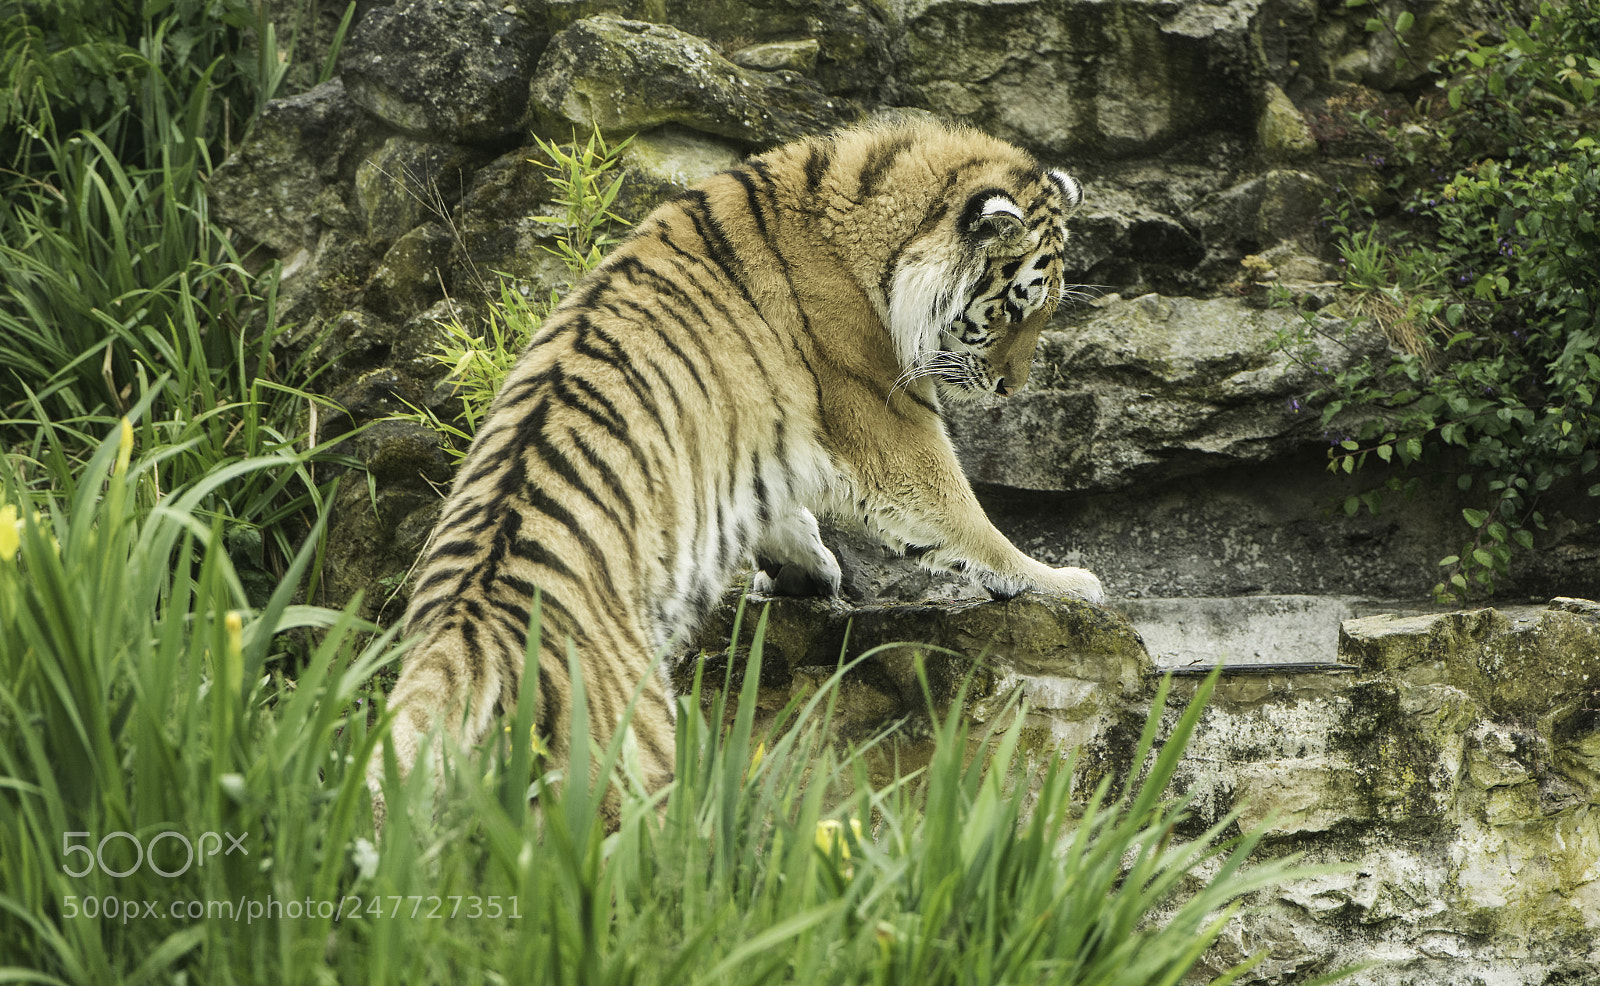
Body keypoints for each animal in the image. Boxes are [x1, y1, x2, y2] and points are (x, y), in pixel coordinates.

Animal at [369, 116, 1105, 822]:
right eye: (1013, 307)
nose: (1012, 388)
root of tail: (471, 635)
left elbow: (776, 510)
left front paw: (806, 571)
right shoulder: (889, 424)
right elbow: (966, 518)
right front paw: (1064, 581)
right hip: (635, 755)